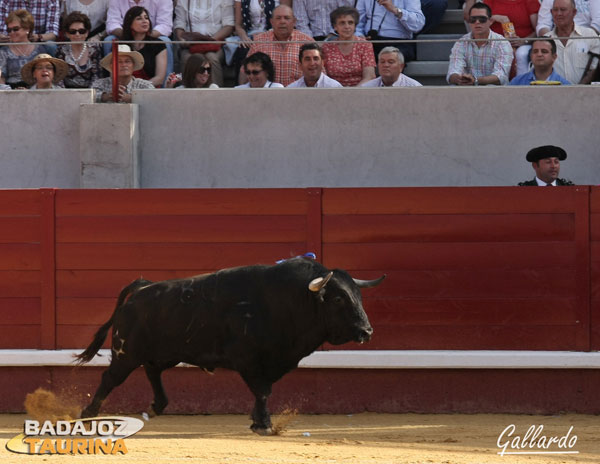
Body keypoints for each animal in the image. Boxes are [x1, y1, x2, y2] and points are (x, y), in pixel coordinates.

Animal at [75, 258, 384, 436]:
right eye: (338, 299)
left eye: (358, 296)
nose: (367, 331)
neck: (288, 301)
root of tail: (141, 289)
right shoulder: (249, 360)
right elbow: (262, 391)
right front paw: (264, 425)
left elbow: (263, 391)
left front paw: (257, 420)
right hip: (125, 352)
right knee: (110, 378)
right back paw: (88, 414)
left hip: (164, 352)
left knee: (153, 371)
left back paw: (158, 405)